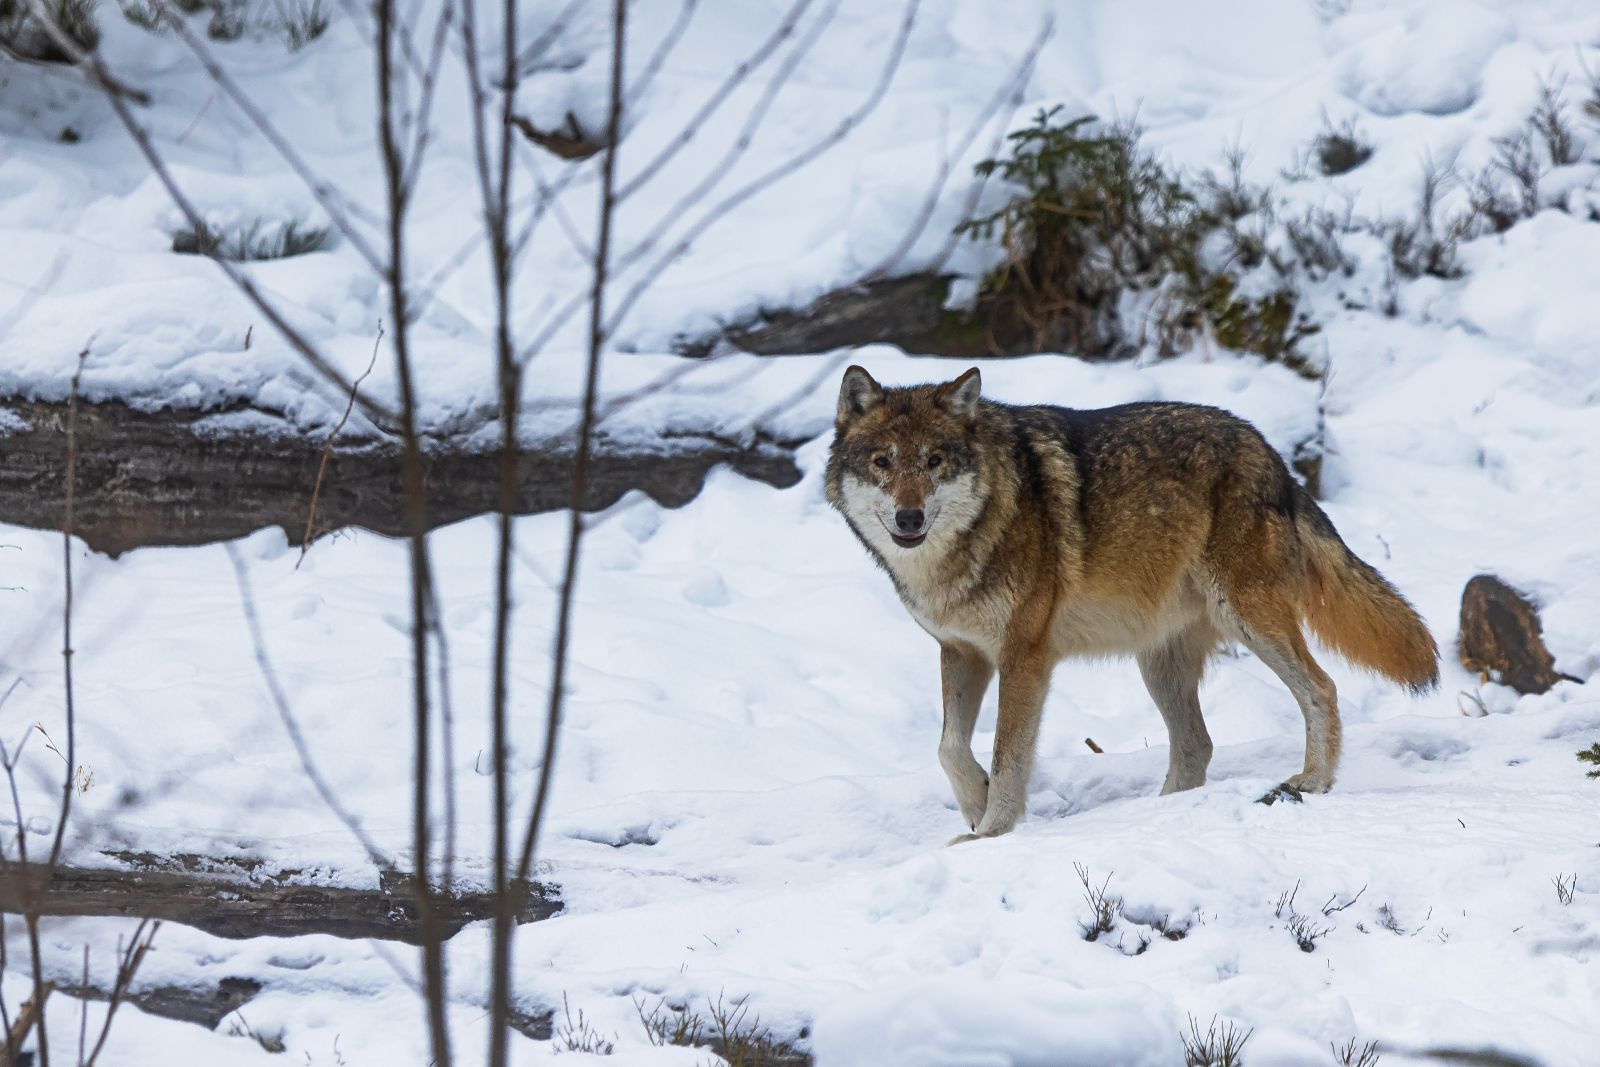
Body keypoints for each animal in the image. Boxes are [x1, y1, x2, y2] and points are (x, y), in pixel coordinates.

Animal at [825, 364, 1440, 844]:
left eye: (934, 461)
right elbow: (949, 748)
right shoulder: (961, 651)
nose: (909, 518)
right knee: (1197, 745)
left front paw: (993, 832)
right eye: (882, 462)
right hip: (1159, 662)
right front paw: (976, 807)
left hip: (1247, 621)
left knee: (1322, 688)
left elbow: (1008, 757)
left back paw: (1310, 782)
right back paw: (1156, 815)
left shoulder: (1025, 657)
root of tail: (1272, 455)